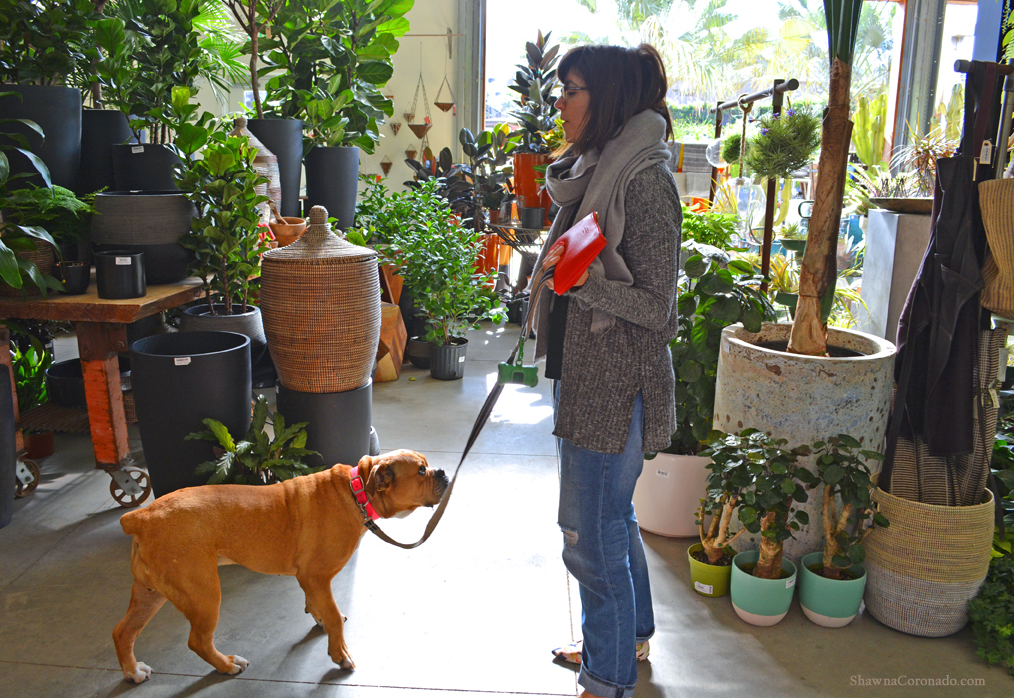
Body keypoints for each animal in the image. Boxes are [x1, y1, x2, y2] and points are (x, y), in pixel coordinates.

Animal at [112, 450, 448, 685]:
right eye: (421, 470)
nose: (443, 472)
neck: (357, 491)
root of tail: (141, 517)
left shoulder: (309, 580)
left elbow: (318, 606)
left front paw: (320, 619)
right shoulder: (316, 577)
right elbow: (334, 617)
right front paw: (339, 653)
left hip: (150, 593)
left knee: (122, 632)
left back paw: (132, 671)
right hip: (203, 595)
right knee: (198, 641)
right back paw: (227, 664)